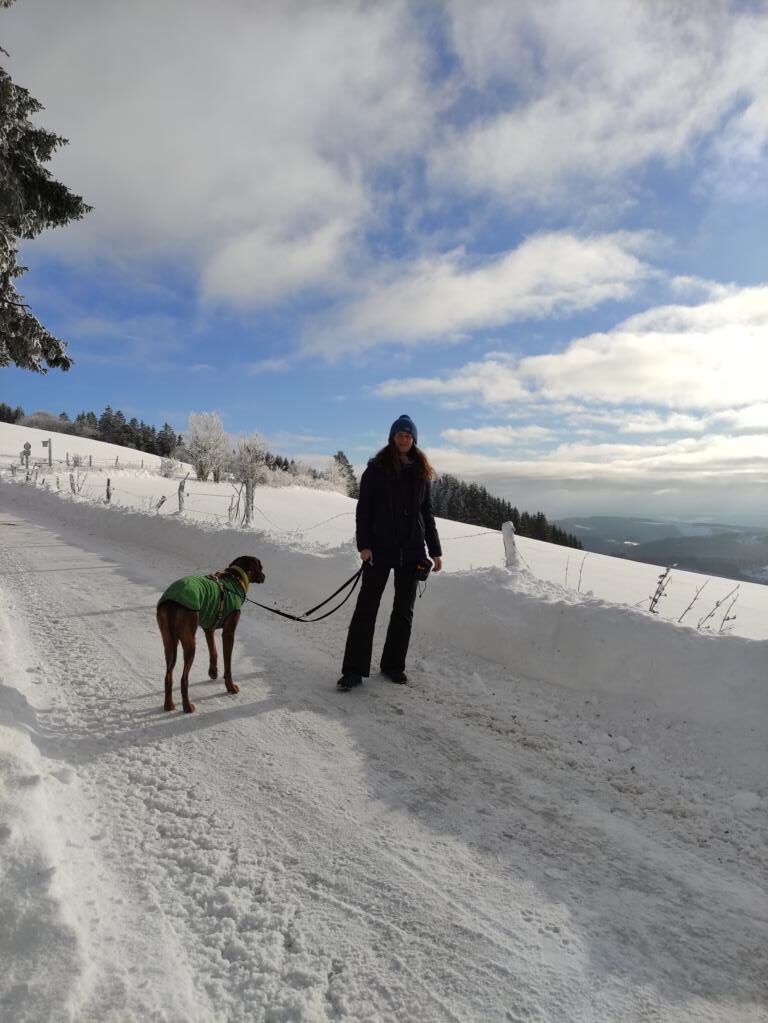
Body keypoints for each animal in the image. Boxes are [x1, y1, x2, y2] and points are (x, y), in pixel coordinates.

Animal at [155, 556, 263, 716]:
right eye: (260, 567)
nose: (264, 576)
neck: (236, 578)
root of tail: (171, 602)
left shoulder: (209, 629)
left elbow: (214, 652)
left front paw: (213, 672)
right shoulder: (229, 634)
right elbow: (228, 665)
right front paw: (230, 687)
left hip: (169, 643)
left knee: (168, 676)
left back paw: (169, 705)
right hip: (189, 644)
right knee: (183, 679)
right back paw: (187, 707)